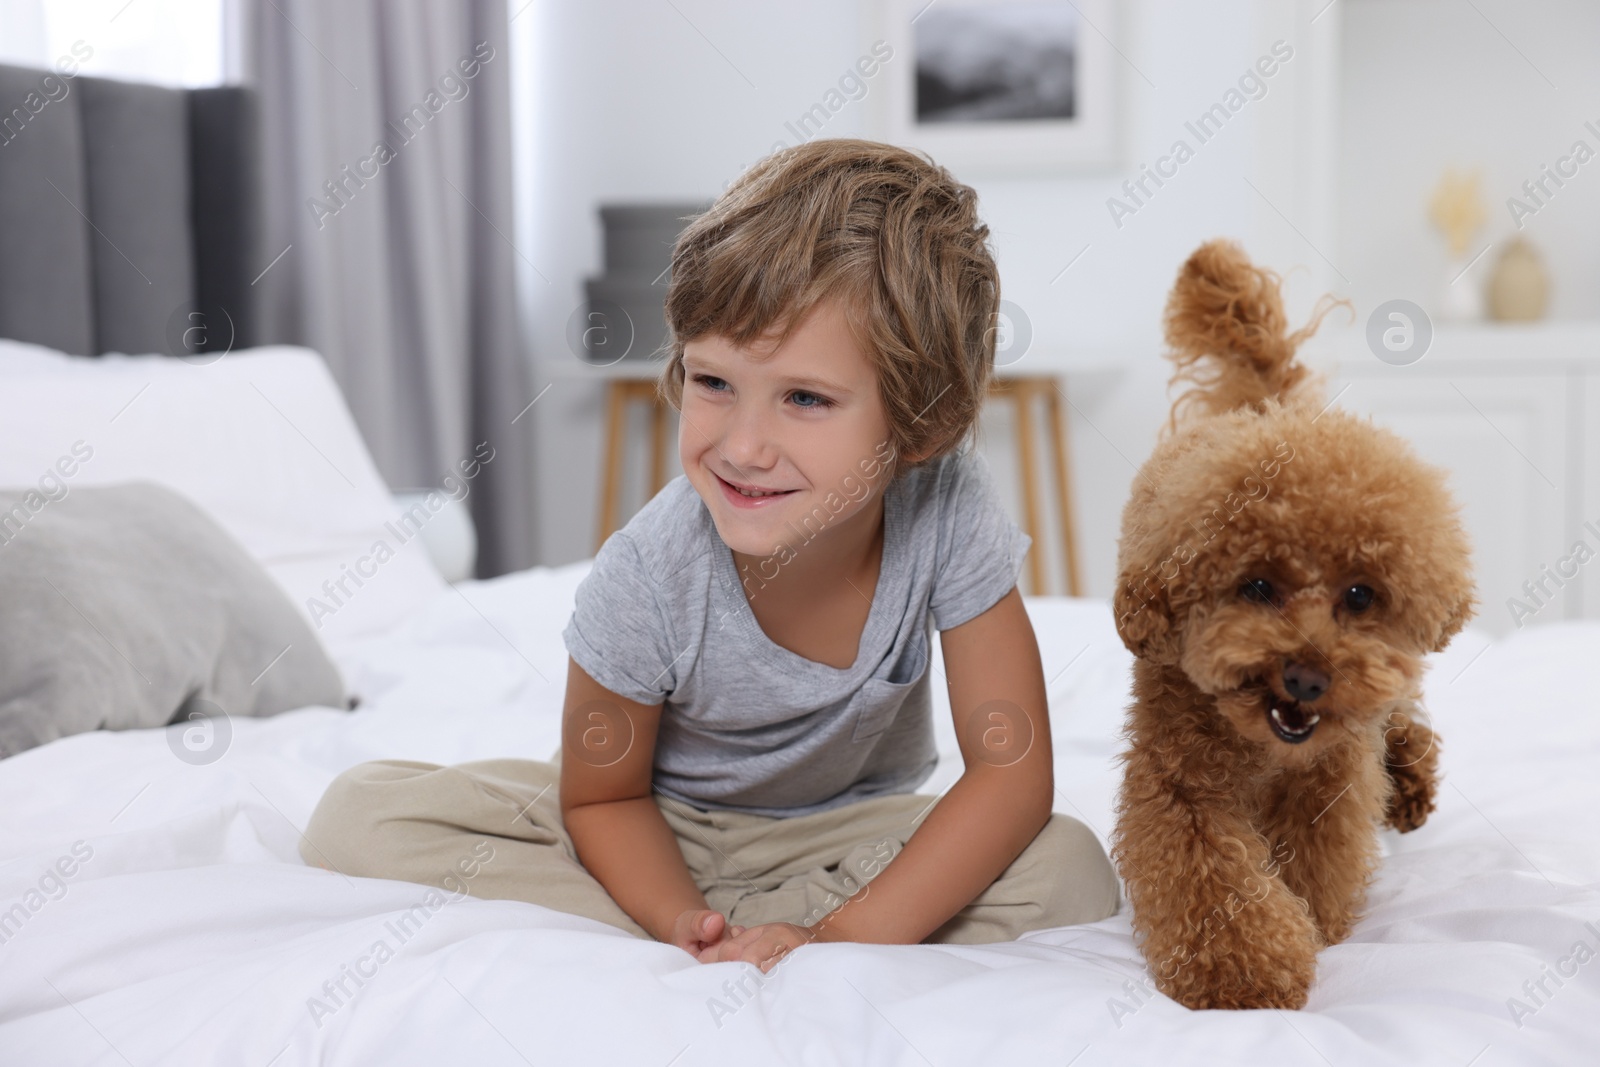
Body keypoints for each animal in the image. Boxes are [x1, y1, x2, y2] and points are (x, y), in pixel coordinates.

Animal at [1113, 239, 1472, 1011]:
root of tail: (1264, 404)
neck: (1263, 748)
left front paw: (1311, 919)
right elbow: (1208, 871)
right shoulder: (1177, 782)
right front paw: (1245, 969)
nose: (1306, 676)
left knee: (1400, 707)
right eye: (1256, 586)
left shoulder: (1329, 773)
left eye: (1361, 595)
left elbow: (1318, 845)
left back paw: (1411, 773)